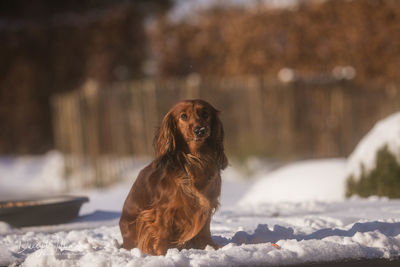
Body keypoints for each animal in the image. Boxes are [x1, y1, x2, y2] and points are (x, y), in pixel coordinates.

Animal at [119, 99, 227, 256]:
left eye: (205, 114)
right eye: (183, 116)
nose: (200, 130)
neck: (197, 160)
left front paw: (210, 247)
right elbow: (162, 231)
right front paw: (162, 253)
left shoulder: (207, 205)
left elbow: (205, 229)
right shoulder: (162, 210)